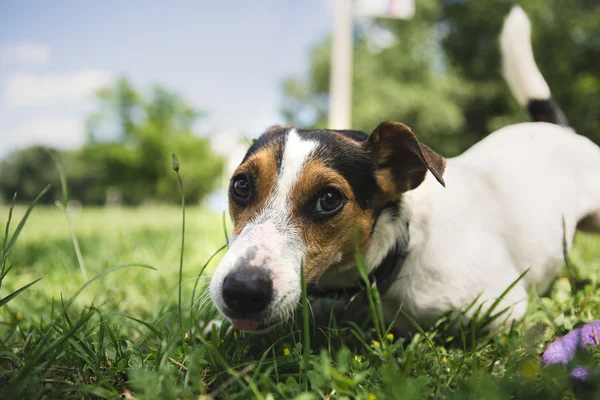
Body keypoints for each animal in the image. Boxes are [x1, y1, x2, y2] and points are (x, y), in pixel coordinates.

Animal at [210, 7, 600, 334]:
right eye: (240, 186)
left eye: (329, 199)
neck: (401, 248)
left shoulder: (503, 310)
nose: (241, 291)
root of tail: (557, 128)